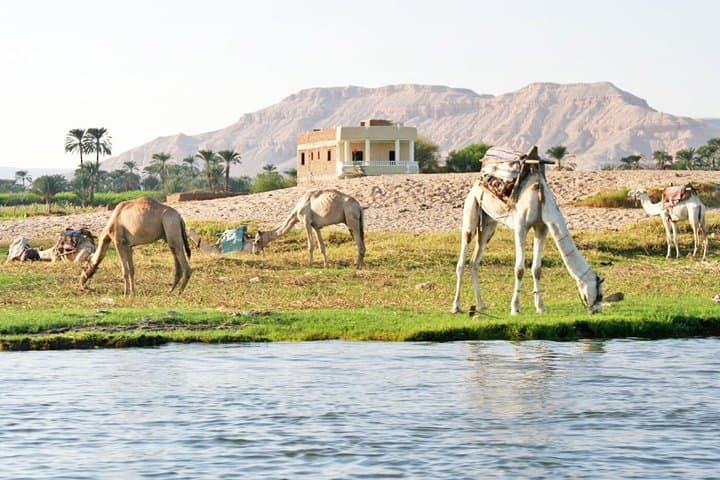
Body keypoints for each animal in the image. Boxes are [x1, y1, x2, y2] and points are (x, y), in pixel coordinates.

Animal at [452, 146, 604, 315]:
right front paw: (515, 308)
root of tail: (479, 179)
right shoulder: (521, 227)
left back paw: (481, 305)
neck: (541, 200)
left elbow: (537, 269)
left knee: (474, 262)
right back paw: (456, 306)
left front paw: (540, 307)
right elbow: (519, 269)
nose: (597, 310)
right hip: (471, 206)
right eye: (600, 295)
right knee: (463, 256)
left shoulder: (542, 227)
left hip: (488, 224)